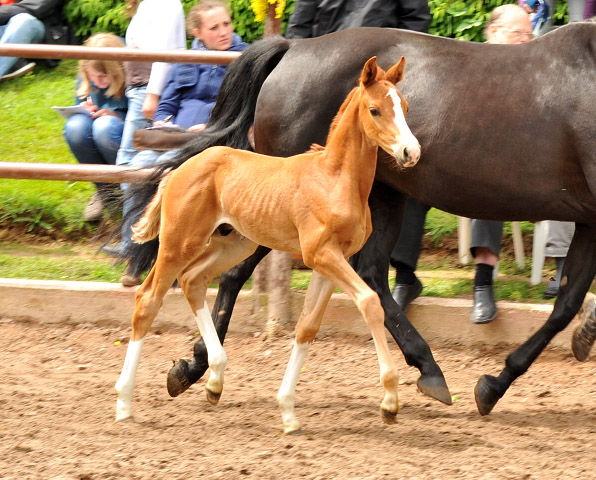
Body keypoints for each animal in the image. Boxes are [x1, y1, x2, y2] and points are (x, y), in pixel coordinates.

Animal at [115, 57, 420, 436]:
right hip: (178, 243)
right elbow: (370, 302)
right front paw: (390, 402)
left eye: (404, 107)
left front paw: (288, 412)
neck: (335, 179)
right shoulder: (320, 254)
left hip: (232, 244)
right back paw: (124, 403)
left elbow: (307, 328)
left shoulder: (335, 259)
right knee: (148, 300)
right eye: (375, 109)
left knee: (192, 281)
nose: (411, 152)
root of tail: (181, 169)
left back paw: (215, 380)